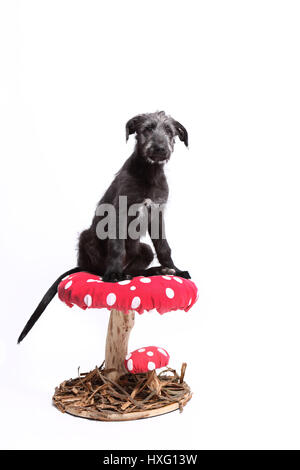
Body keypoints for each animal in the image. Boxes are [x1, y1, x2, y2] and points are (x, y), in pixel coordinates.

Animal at [17, 112, 190, 344]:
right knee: (99, 269)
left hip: (144, 250)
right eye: (147, 129)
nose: (160, 149)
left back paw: (155, 271)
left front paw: (175, 269)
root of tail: (83, 265)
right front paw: (114, 276)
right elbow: (116, 246)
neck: (149, 172)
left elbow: (164, 246)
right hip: (87, 238)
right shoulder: (119, 213)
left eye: (170, 132)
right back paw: (115, 273)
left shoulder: (157, 214)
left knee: (136, 269)